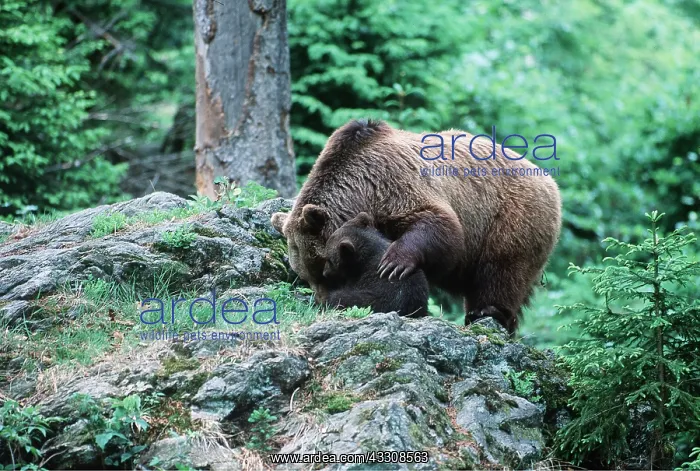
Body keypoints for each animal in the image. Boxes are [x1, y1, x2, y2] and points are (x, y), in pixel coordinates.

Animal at [271, 119, 562, 333]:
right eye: (305, 275)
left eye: (324, 270)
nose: (321, 301)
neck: (360, 189)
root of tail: (547, 179)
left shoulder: (394, 182)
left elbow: (438, 223)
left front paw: (394, 263)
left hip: (511, 216)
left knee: (501, 269)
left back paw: (487, 311)